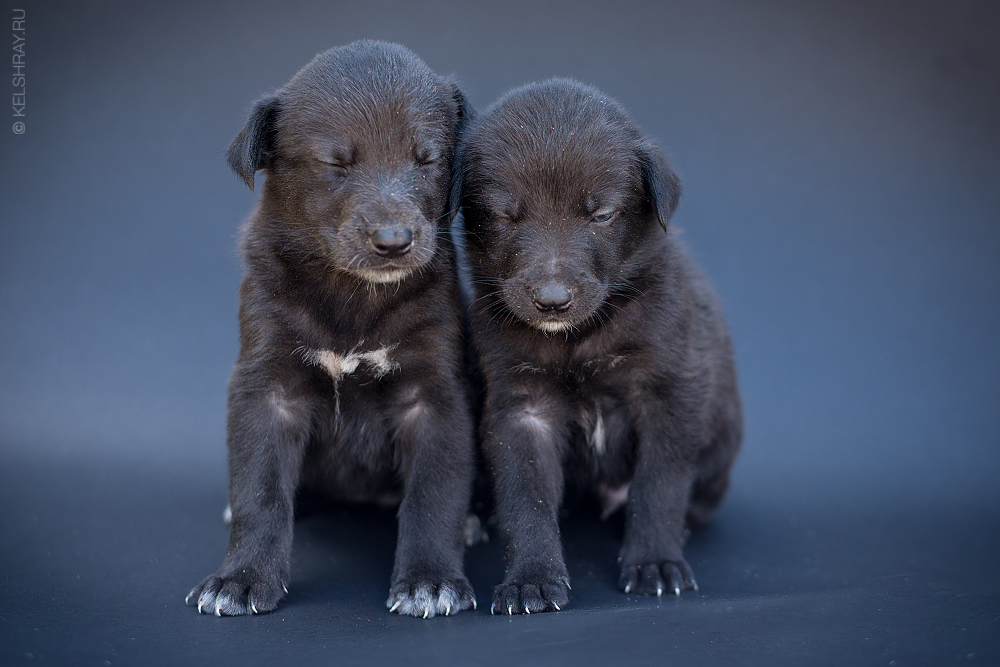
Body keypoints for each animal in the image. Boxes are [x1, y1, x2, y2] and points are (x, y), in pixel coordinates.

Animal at [190, 41, 480, 620]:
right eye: (335, 163)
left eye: (428, 159)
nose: (393, 241)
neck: (354, 296)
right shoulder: (267, 386)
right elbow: (260, 490)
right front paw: (241, 579)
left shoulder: (435, 393)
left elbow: (434, 492)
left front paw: (430, 580)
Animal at [454, 79, 744, 616]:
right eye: (506, 215)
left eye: (602, 215)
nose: (552, 300)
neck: (579, 337)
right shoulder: (521, 407)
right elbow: (526, 499)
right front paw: (531, 578)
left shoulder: (670, 392)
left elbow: (658, 485)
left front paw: (654, 562)